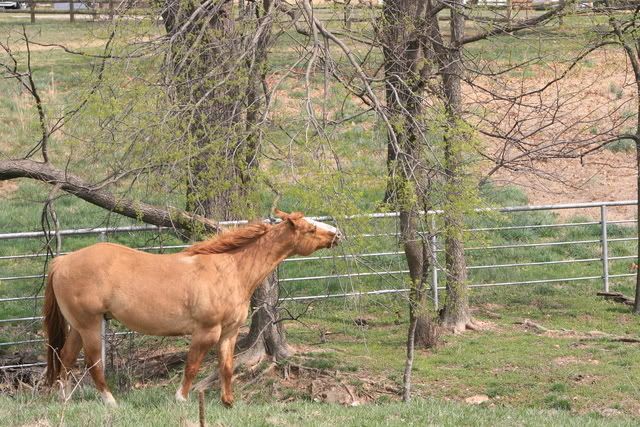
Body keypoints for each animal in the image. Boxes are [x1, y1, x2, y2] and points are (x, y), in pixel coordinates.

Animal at [42, 211, 342, 408]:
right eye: (310, 229)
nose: (337, 234)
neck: (230, 269)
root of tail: (63, 262)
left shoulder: (229, 333)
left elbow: (226, 367)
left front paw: (228, 402)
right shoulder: (207, 332)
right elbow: (192, 366)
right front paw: (181, 398)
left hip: (78, 327)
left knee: (65, 358)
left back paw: (64, 399)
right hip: (90, 325)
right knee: (92, 363)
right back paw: (110, 402)